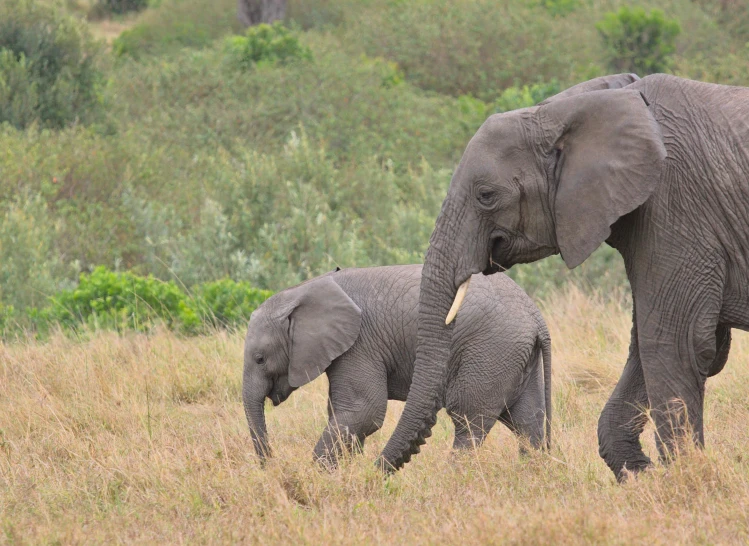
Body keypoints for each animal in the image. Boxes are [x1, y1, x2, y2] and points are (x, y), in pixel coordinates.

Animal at [244, 264, 548, 464]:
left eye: (260, 358)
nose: (272, 464)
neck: (303, 290)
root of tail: (536, 317)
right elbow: (347, 415)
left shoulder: (360, 344)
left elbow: (364, 411)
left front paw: (318, 476)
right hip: (515, 357)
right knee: (526, 421)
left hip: (491, 350)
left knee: (468, 420)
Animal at [382, 74, 744, 478]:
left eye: (486, 195)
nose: (378, 471)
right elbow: (655, 345)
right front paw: (643, 475)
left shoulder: (676, 206)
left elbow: (675, 341)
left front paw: (681, 478)